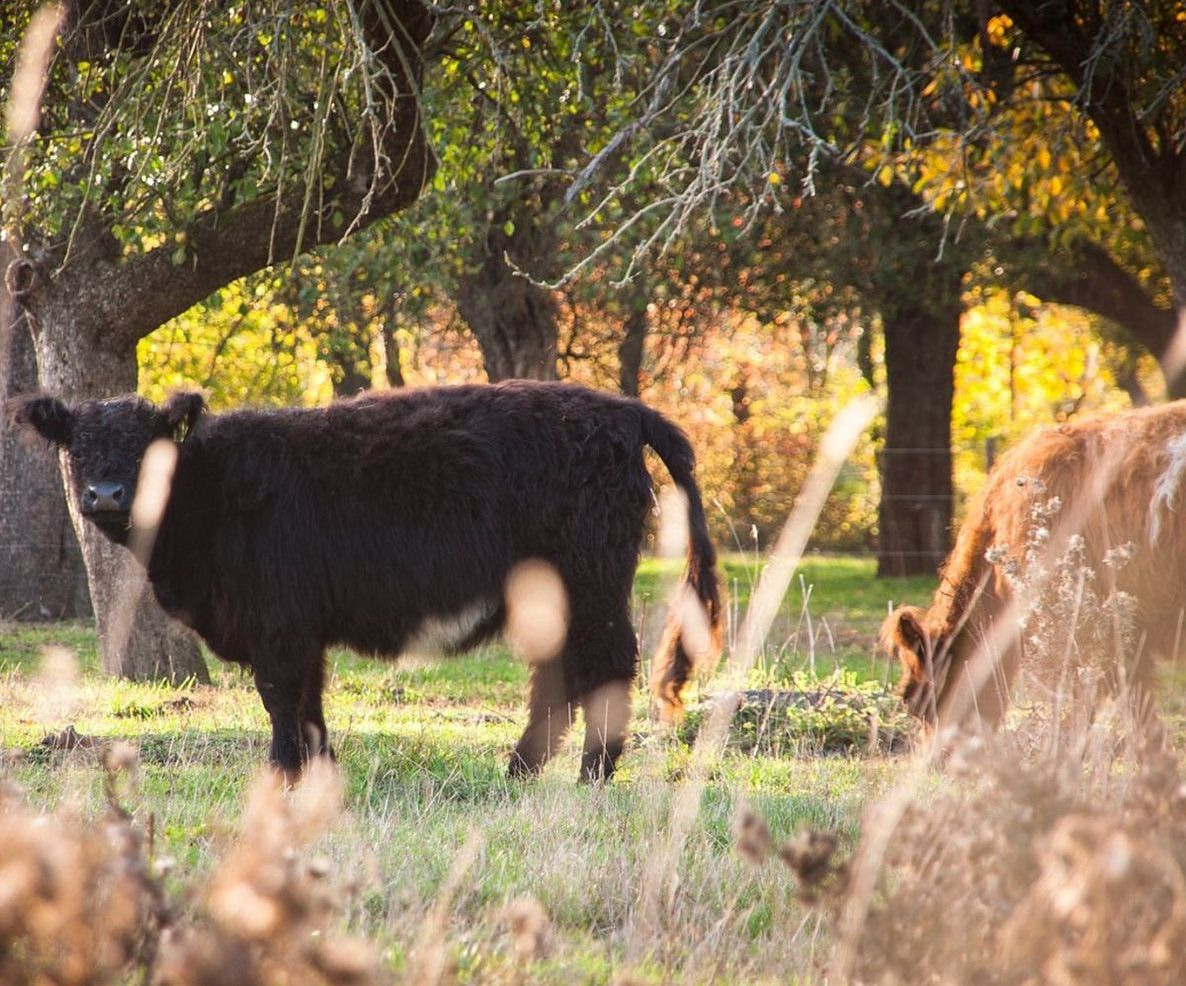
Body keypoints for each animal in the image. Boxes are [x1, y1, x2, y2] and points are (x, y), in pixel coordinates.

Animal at [12, 381, 722, 782]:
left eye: (147, 446)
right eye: (76, 446)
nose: (107, 494)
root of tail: (622, 410)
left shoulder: (279, 626)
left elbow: (281, 700)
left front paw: (281, 777)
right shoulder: (300, 630)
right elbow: (309, 704)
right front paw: (318, 774)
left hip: (591, 582)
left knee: (604, 668)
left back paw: (590, 778)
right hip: (553, 595)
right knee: (556, 679)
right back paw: (519, 773)